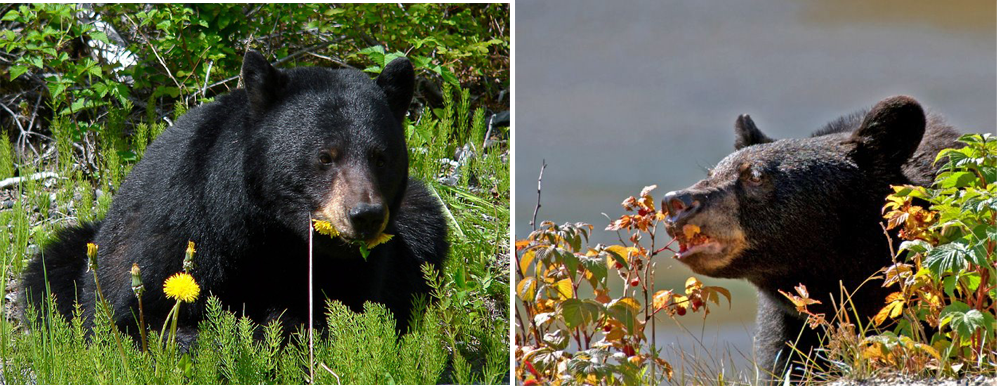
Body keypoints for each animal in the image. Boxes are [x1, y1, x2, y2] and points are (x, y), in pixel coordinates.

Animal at [22, 50, 448, 338]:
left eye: (381, 157)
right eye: (325, 156)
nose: (365, 215)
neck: (271, 232)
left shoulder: (355, 267)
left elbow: (345, 308)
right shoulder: (180, 227)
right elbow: (137, 316)